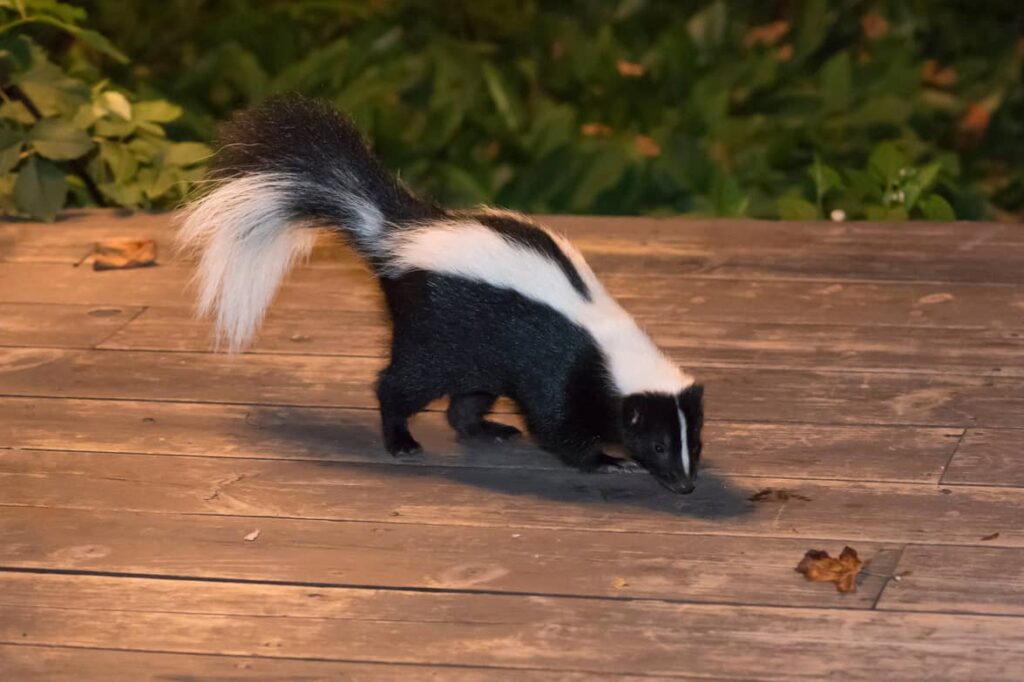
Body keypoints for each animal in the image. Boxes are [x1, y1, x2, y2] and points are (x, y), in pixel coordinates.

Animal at [178, 94, 704, 489]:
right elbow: (556, 425)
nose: (685, 484)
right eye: (658, 443)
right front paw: (608, 460)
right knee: (399, 384)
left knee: (466, 400)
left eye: (693, 442)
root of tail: (398, 236)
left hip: (476, 352)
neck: (607, 340)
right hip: (433, 333)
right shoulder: (559, 369)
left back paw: (488, 429)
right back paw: (401, 440)